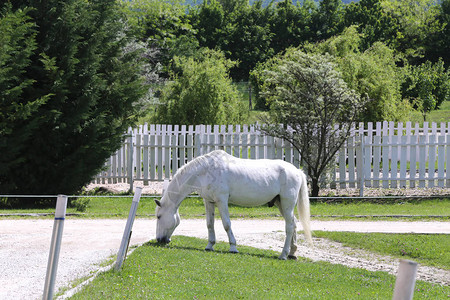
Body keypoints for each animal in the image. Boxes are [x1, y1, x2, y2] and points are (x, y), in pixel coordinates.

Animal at [155, 150, 312, 260]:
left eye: (158, 216)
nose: (159, 240)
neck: (205, 171)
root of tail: (297, 171)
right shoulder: (209, 201)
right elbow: (209, 224)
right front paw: (209, 245)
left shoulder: (222, 200)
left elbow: (226, 224)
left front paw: (233, 247)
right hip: (281, 204)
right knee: (294, 224)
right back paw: (292, 253)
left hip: (287, 203)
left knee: (289, 226)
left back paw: (283, 254)